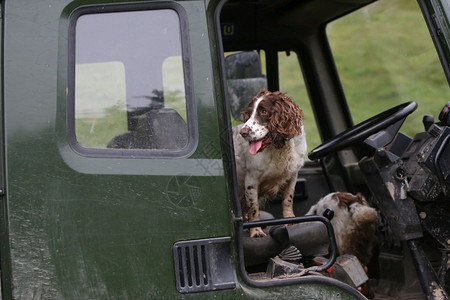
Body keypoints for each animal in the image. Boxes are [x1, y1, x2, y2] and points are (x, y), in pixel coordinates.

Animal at [232, 89, 306, 237]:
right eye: (249, 113)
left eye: (264, 111)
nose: (243, 132)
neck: (279, 148)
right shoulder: (251, 180)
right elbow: (254, 208)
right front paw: (256, 231)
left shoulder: (292, 175)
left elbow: (288, 199)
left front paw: (290, 221)